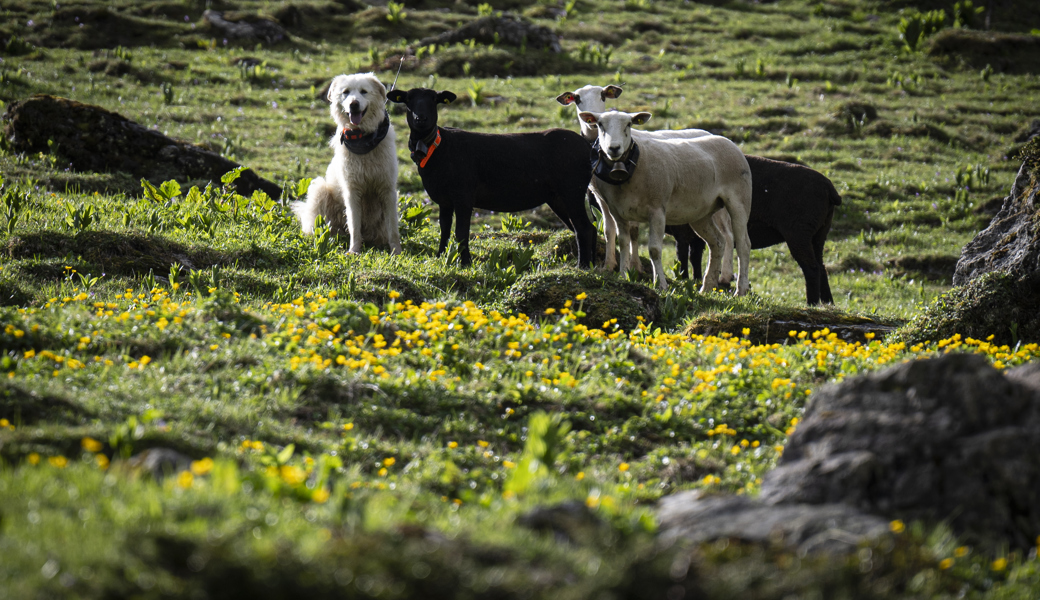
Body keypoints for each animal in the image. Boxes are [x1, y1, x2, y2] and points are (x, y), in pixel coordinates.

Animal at [297, 73, 405, 253]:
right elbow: (354, 225)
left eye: (364, 91)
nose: (353, 104)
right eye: (345, 92)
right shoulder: (352, 190)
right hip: (320, 189)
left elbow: (393, 228)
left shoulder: (387, 189)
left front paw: (396, 251)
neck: (363, 138)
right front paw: (354, 251)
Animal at [386, 87, 599, 266]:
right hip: (558, 197)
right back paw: (595, 265)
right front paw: (441, 258)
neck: (437, 146)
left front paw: (465, 264)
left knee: (584, 228)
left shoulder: (464, 196)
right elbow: (444, 231)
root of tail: (587, 146)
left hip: (572, 189)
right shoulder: (444, 201)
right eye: (408, 100)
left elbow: (461, 233)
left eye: (434, 100)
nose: (421, 118)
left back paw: (582, 267)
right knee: (590, 227)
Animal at [578, 110, 757, 293]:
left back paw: (740, 290)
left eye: (629, 124)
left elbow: (654, 250)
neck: (630, 168)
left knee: (743, 245)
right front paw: (623, 276)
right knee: (718, 242)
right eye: (600, 124)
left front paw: (661, 284)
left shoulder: (657, 210)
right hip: (702, 213)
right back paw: (707, 286)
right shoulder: (617, 212)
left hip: (739, 201)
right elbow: (623, 242)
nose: (614, 148)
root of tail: (727, 141)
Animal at [669, 155, 840, 303]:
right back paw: (828, 304)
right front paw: (697, 281)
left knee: (812, 268)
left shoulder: (684, 233)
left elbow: (684, 258)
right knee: (822, 267)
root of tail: (830, 190)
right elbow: (695, 258)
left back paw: (812, 304)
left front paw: (686, 280)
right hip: (818, 235)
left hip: (799, 234)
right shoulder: (694, 237)